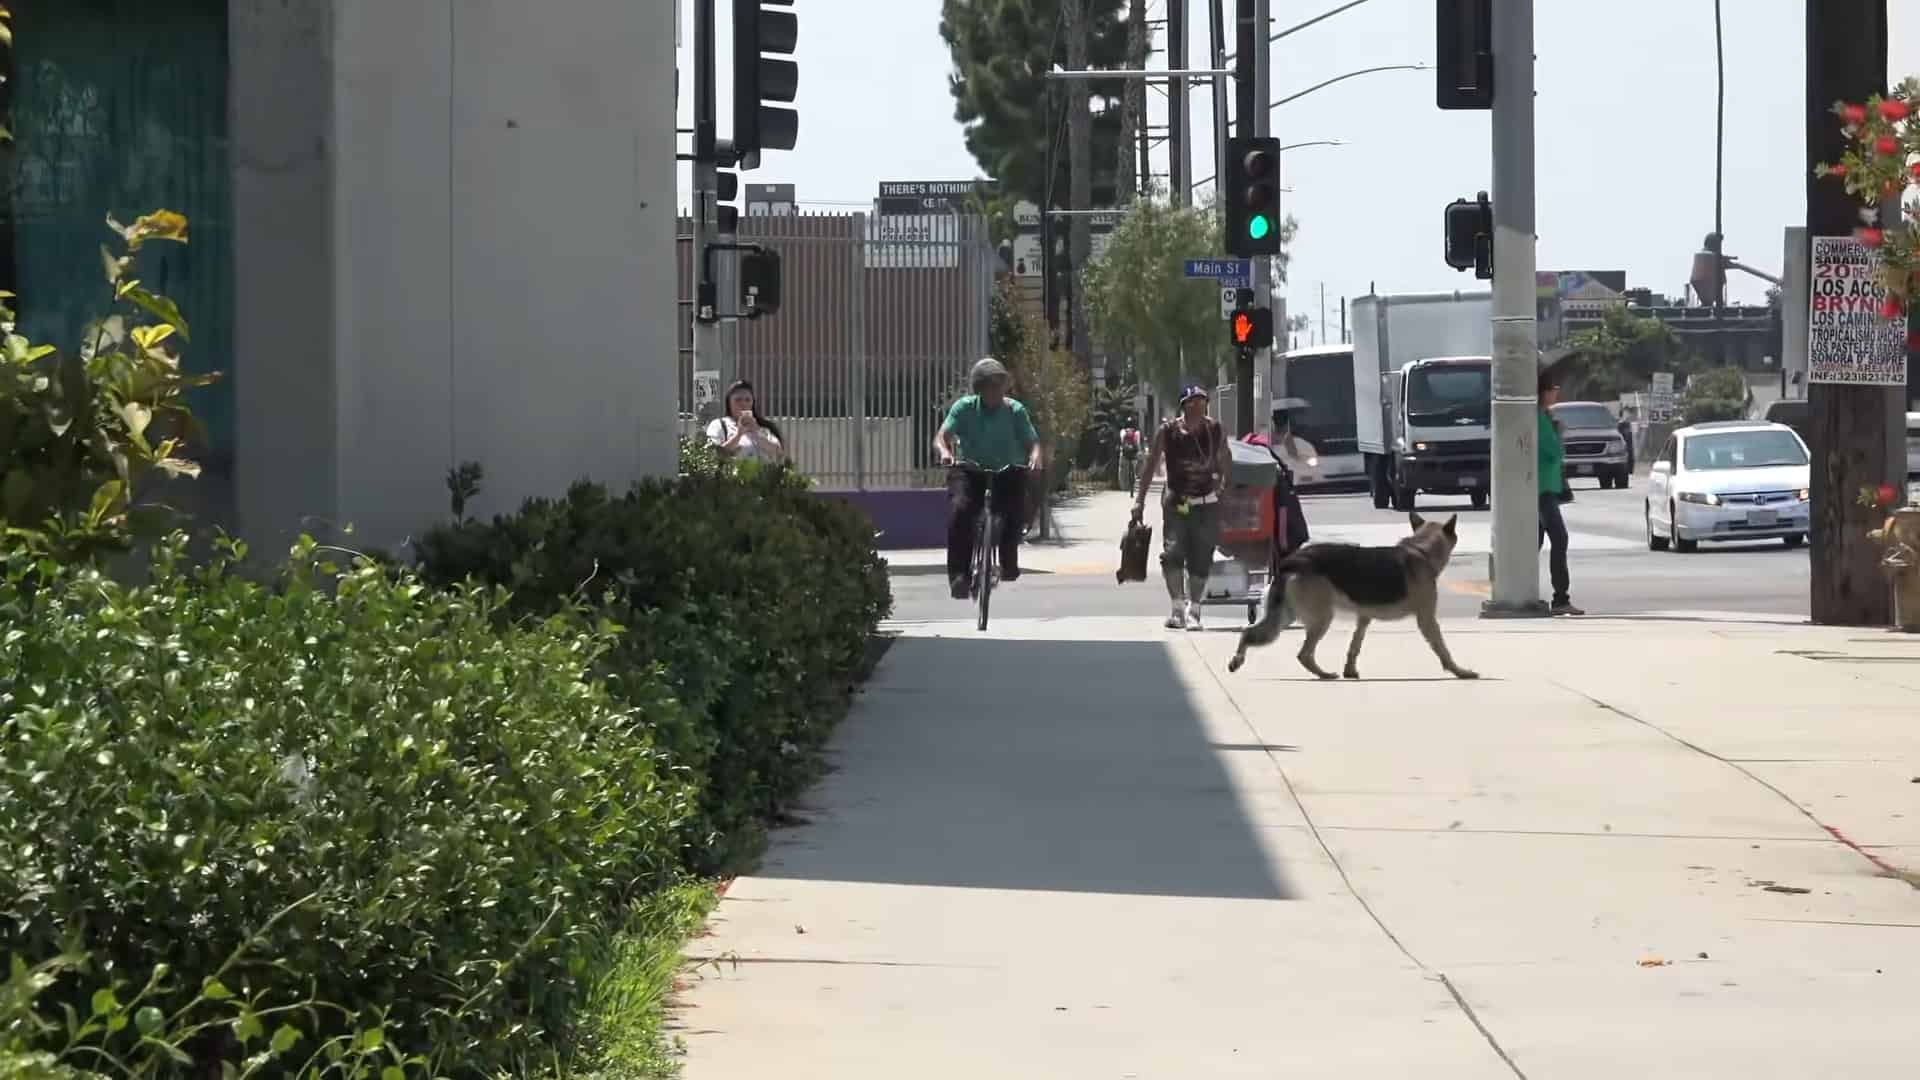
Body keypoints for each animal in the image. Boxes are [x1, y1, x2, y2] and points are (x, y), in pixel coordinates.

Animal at [1221, 511, 1474, 676]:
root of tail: (1291, 561)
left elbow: (1355, 645)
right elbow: (1442, 647)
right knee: (1303, 654)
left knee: (1248, 633)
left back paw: (1237, 660)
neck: (1421, 549)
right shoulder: (1426, 618)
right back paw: (1324, 675)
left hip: (1285, 617)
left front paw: (1350, 671)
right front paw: (1458, 671)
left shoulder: (1364, 618)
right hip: (1321, 618)